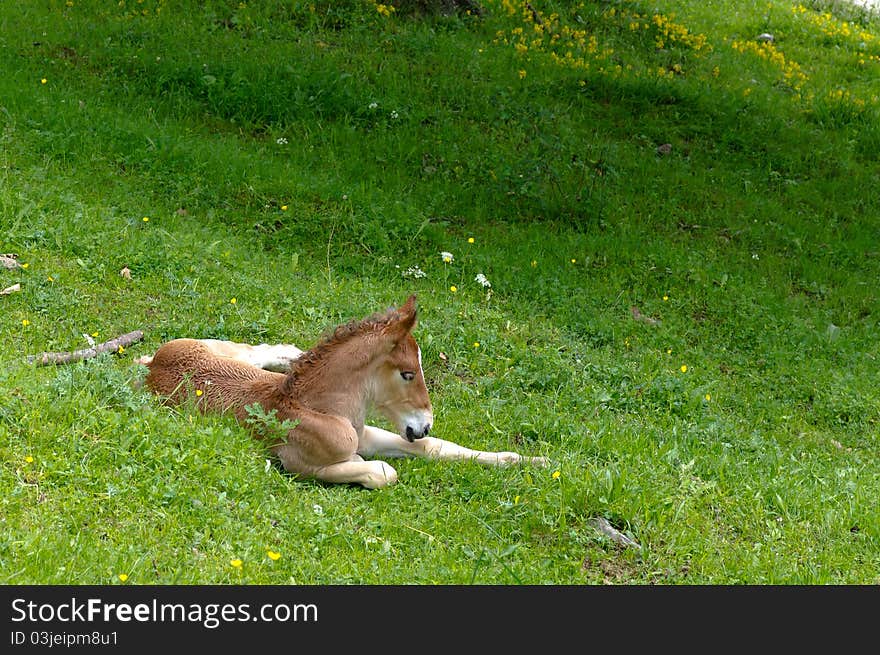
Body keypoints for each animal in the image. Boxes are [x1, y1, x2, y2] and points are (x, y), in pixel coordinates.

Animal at [141, 296, 548, 486]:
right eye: (407, 374)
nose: (424, 424)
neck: (321, 408)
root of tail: (154, 367)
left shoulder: (366, 433)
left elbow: (435, 448)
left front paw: (534, 461)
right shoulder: (299, 465)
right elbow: (382, 471)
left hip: (219, 350)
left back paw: (288, 355)